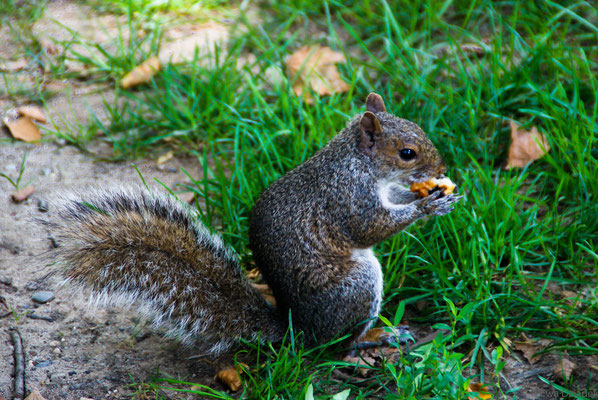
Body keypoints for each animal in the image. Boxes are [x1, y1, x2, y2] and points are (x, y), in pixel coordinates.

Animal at [50, 93, 464, 354]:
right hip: (357, 286)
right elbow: (371, 227)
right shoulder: (348, 198)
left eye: (416, 128)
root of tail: (299, 332)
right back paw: (374, 338)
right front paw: (429, 205)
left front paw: (434, 195)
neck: (358, 163)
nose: (443, 168)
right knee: (337, 347)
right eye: (407, 153)